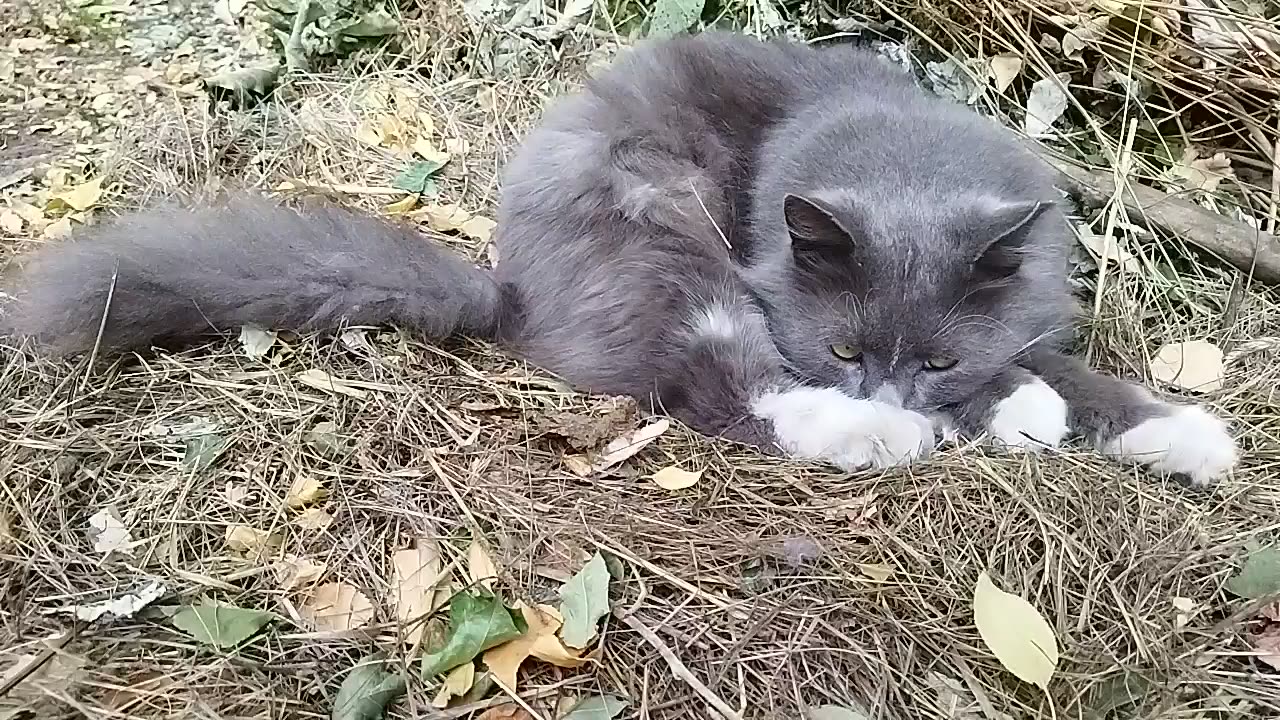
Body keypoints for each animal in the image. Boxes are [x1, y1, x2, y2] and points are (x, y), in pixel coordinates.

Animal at [0, 30, 1239, 484]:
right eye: (847, 347)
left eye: (934, 357)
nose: (895, 392)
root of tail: (506, 283)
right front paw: (1000, 415)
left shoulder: (1024, 313)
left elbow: (1071, 371)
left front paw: (1177, 433)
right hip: (662, 234)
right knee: (721, 385)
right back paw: (873, 438)